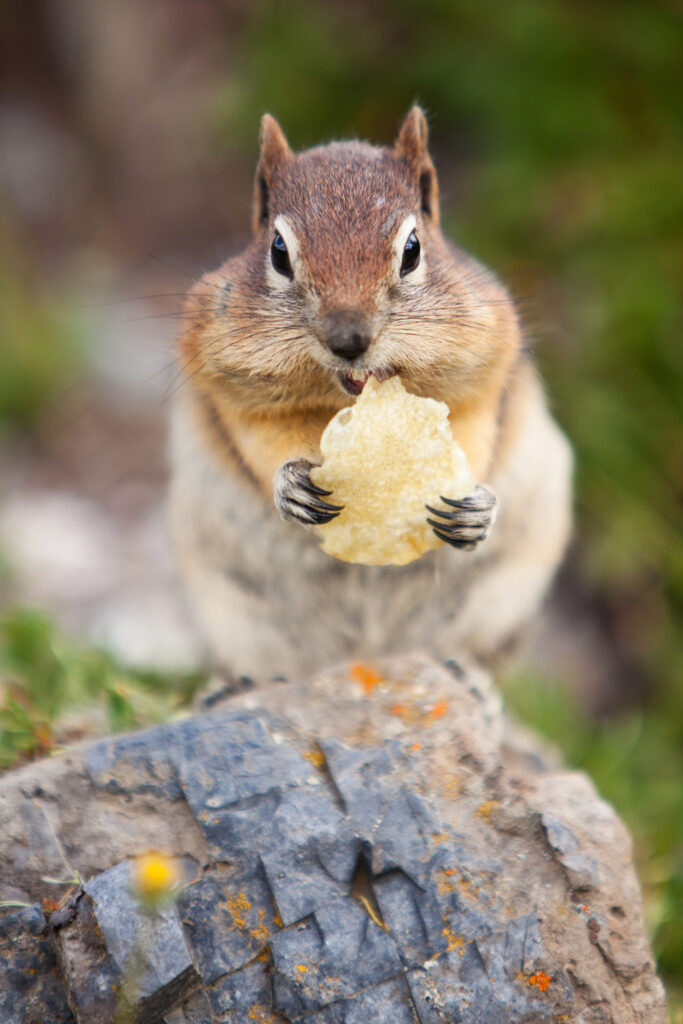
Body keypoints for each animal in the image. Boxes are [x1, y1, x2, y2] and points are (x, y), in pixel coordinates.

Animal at [169, 107, 572, 684]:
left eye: (412, 249)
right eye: (278, 251)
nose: (348, 338)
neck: (345, 400)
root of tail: (371, 656)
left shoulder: (485, 375)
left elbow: (474, 436)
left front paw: (475, 507)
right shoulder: (230, 389)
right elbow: (259, 441)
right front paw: (289, 485)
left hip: (503, 601)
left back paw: (466, 675)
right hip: (231, 608)